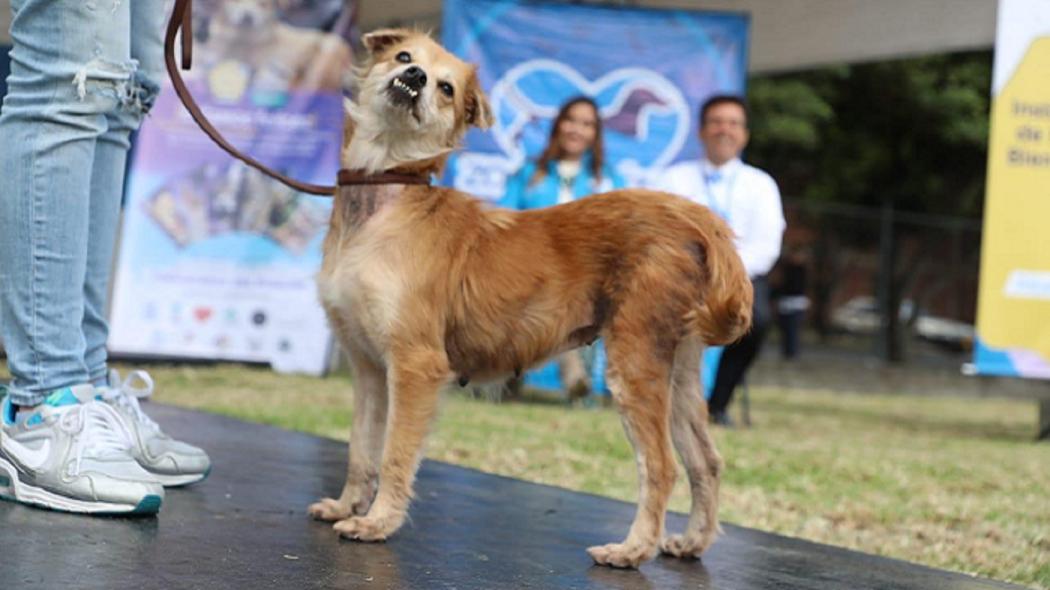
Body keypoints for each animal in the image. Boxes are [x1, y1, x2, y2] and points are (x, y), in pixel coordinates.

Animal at [306, 27, 751, 566]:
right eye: (404, 56)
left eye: (447, 88)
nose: (414, 77)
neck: (384, 196)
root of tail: (696, 216)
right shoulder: (369, 368)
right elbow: (360, 448)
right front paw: (347, 505)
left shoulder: (414, 366)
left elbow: (394, 454)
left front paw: (377, 522)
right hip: (680, 371)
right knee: (706, 460)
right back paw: (692, 542)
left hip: (635, 363)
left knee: (661, 466)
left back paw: (631, 550)